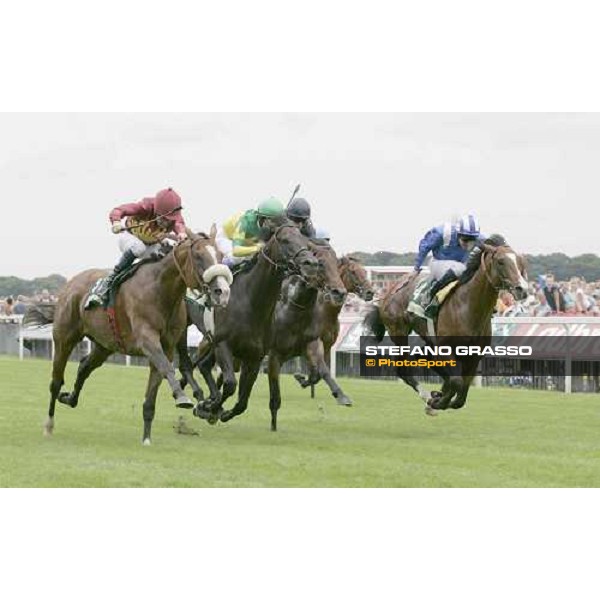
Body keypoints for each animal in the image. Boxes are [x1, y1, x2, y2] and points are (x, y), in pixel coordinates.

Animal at [23, 232, 231, 442]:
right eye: (198, 256)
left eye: (220, 256)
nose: (222, 292)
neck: (161, 290)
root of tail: (69, 285)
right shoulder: (148, 340)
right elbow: (167, 368)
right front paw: (182, 397)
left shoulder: (167, 346)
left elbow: (153, 392)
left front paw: (146, 438)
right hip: (64, 338)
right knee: (56, 382)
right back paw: (49, 424)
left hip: (104, 345)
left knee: (84, 366)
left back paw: (69, 398)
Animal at [268, 240, 346, 432]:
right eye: (321, 264)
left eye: (337, 264)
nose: (340, 292)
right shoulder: (274, 354)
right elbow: (275, 395)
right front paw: (273, 426)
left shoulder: (313, 344)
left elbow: (321, 371)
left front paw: (341, 395)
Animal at [292, 255, 372, 406]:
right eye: (353, 271)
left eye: (365, 271)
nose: (370, 292)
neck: (325, 312)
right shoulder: (314, 342)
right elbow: (323, 371)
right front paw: (341, 396)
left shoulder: (328, 344)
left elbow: (318, 373)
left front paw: (304, 380)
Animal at [360, 239, 524, 412]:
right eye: (500, 261)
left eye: (520, 262)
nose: (522, 289)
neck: (468, 307)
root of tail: (389, 289)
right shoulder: (445, 348)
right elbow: (457, 382)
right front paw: (438, 401)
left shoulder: (474, 355)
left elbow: (461, 394)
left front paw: (441, 396)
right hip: (399, 332)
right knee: (404, 369)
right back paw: (427, 397)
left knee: (425, 357)